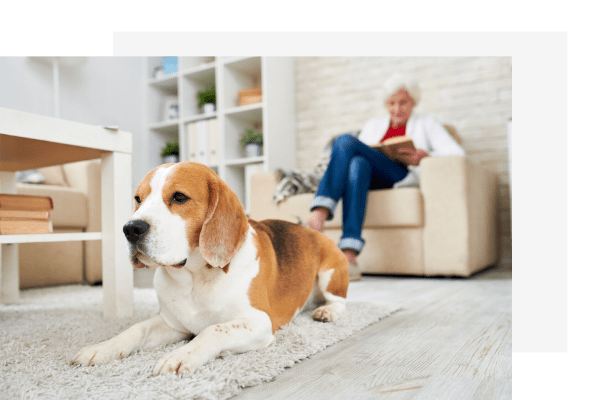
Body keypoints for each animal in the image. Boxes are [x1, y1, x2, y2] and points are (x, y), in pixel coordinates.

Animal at [70, 162, 350, 376]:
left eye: (179, 197)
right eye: (138, 199)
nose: (130, 229)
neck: (193, 278)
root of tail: (313, 231)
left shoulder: (259, 323)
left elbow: (212, 329)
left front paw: (182, 355)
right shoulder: (172, 324)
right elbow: (136, 329)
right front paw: (102, 348)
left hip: (330, 274)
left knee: (340, 301)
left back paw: (327, 312)